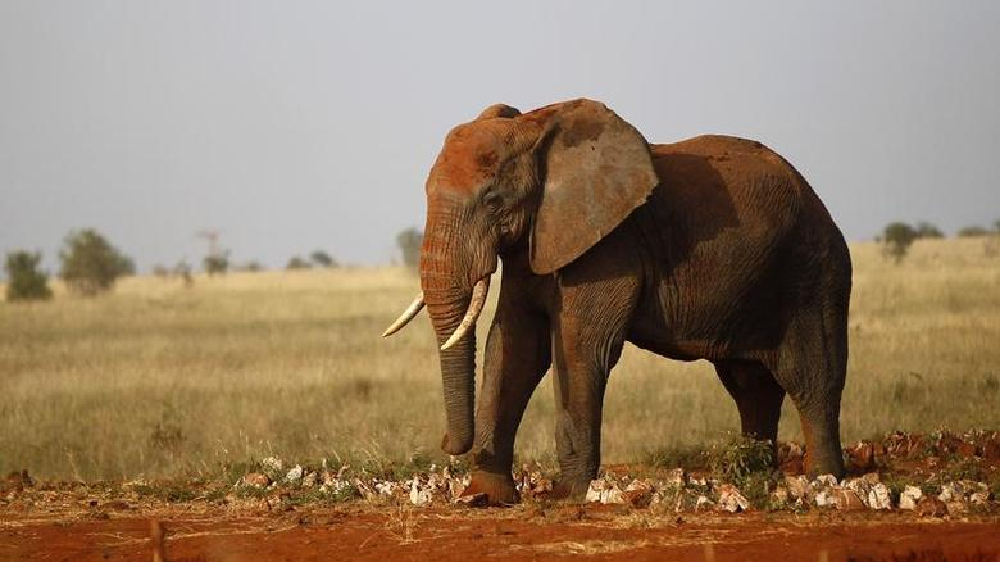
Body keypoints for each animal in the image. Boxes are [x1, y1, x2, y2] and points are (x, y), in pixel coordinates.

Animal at [383, 99, 852, 504]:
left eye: (493, 201)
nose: (447, 443)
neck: (536, 128)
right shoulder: (535, 242)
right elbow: (514, 345)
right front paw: (485, 496)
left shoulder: (608, 246)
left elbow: (579, 347)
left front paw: (571, 495)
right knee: (751, 386)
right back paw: (755, 474)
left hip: (814, 272)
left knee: (811, 378)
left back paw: (823, 480)